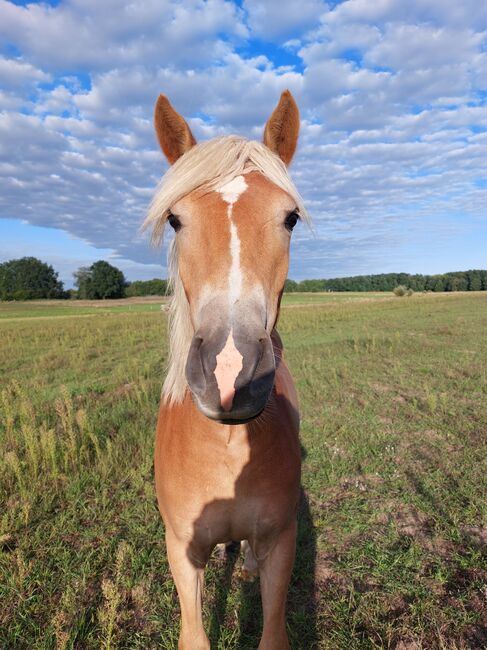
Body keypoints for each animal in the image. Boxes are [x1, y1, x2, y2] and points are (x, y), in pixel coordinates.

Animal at [145, 88, 310, 644]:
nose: (230, 370)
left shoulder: (282, 543)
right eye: (175, 219)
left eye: (290, 217)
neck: (227, 449)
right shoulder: (182, 551)